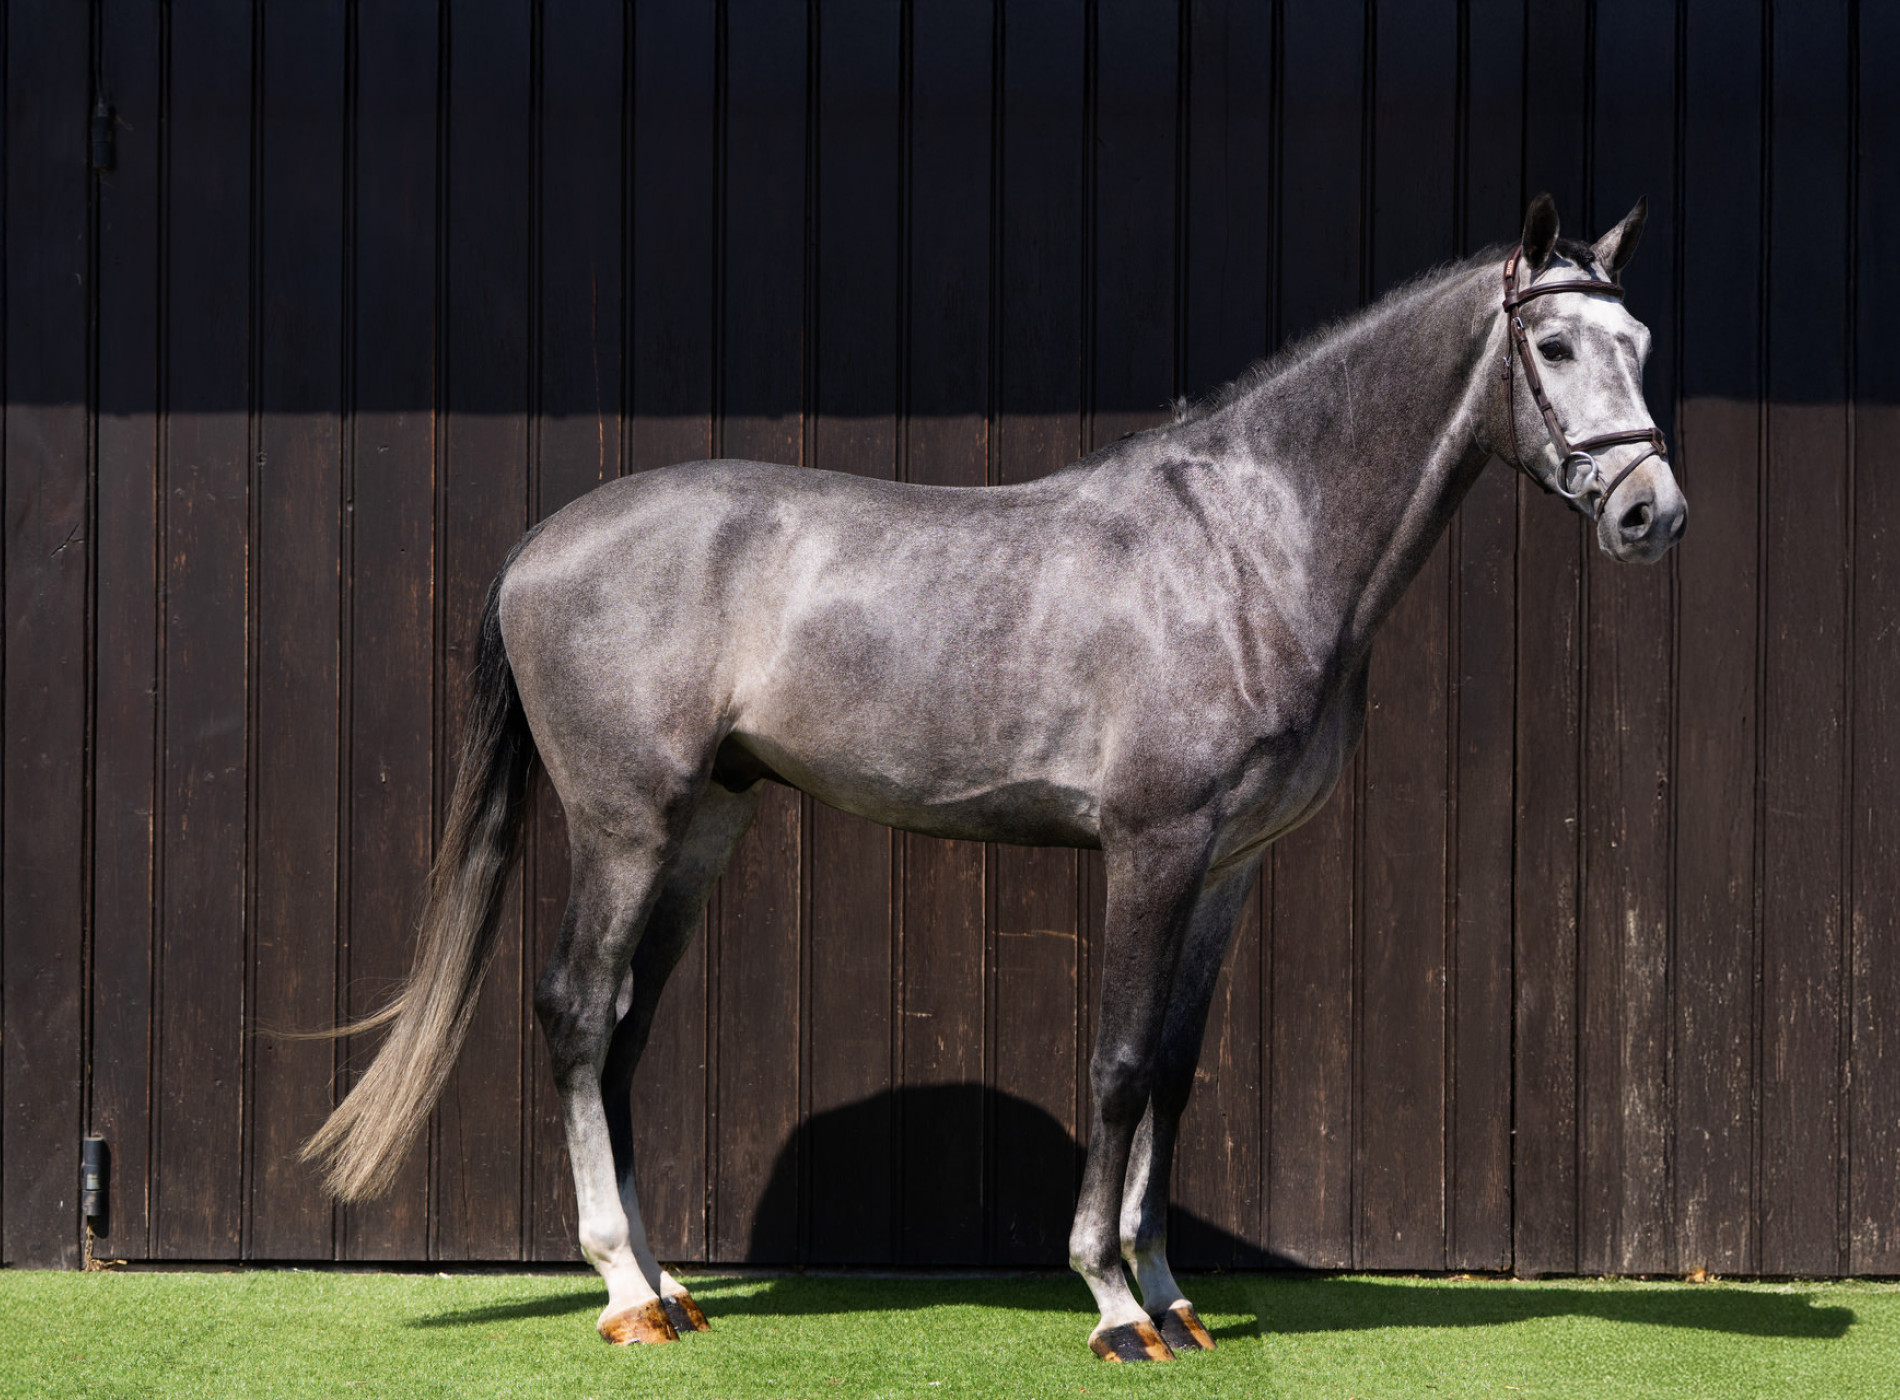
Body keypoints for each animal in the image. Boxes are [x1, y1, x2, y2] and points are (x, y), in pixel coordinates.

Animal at [303, 194, 1685, 1361]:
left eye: (1638, 337)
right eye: (1553, 345)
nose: (1651, 515)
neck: (1244, 548)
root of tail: (544, 541)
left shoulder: (1228, 867)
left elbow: (1174, 1071)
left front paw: (1173, 1295)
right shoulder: (1152, 845)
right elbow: (1118, 1060)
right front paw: (1112, 1300)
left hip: (703, 825)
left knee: (628, 1027)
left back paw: (669, 1282)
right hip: (625, 824)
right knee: (578, 1011)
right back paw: (624, 1291)